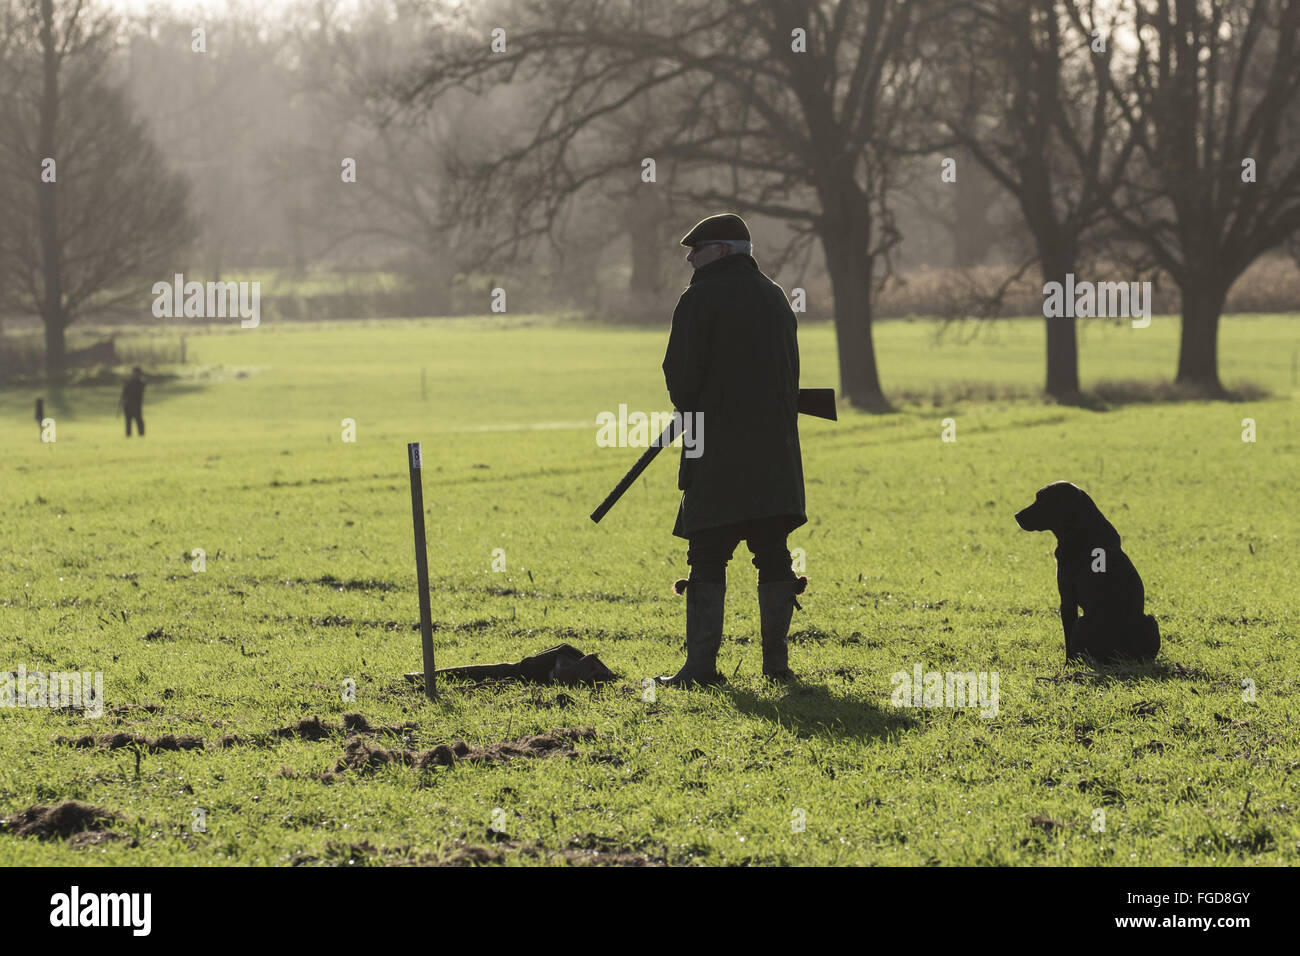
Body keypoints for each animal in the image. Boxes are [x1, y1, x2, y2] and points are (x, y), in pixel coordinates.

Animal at [1013, 481, 1159, 660]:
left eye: (1043, 500)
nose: (1016, 515)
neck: (1081, 530)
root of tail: (1120, 652)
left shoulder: (1067, 599)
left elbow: (1067, 640)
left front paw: (1068, 664)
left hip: (1081, 623)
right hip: (1151, 620)